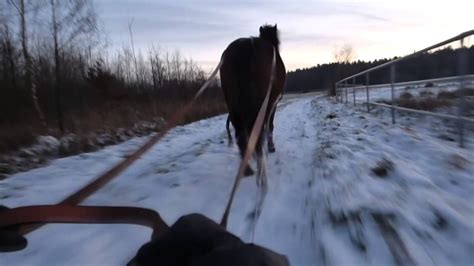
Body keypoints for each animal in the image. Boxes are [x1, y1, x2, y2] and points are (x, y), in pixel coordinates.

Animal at [220, 24, 286, 177]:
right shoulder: (272, 104)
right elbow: (269, 125)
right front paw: (271, 146)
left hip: (233, 105)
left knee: (240, 134)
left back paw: (247, 168)